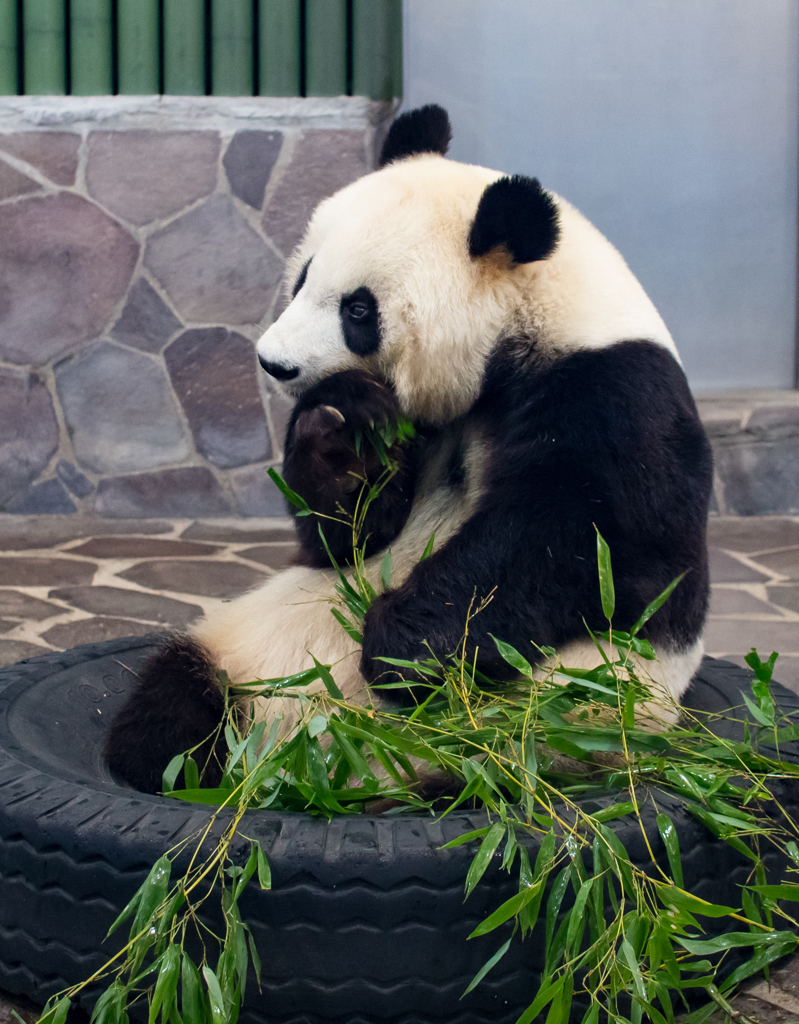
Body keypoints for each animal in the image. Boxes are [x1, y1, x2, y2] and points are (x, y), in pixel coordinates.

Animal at [106, 105, 712, 790]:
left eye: (359, 310)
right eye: (304, 275)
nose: (275, 364)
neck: (528, 321)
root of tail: (323, 759)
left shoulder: (615, 394)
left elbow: (597, 547)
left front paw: (403, 648)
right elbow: (344, 540)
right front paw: (340, 443)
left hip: (560, 722)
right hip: (250, 647)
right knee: (174, 704)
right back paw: (190, 761)